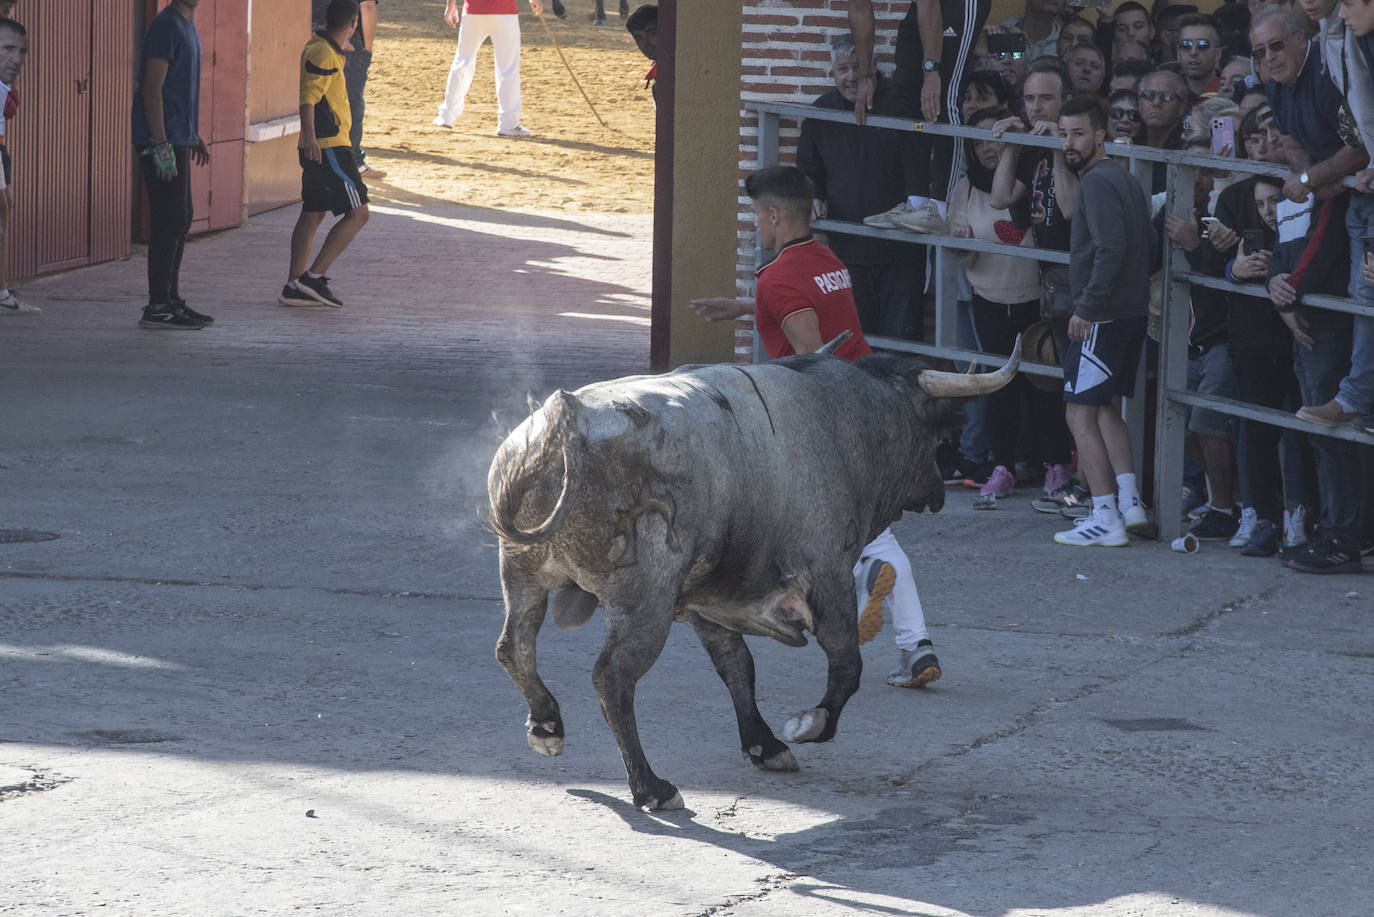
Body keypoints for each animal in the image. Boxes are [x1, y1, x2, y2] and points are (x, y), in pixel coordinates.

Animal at [489, 343, 1016, 808]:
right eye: (936, 432)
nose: (938, 490)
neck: (845, 418)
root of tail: (569, 423)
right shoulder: (828, 576)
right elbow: (847, 663)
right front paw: (811, 724)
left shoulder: (708, 597)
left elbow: (737, 666)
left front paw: (765, 744)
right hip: (644, 601)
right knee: (612, 677)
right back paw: (651, 788)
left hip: (522, 574)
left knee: (514, 647)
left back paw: (546, 726)